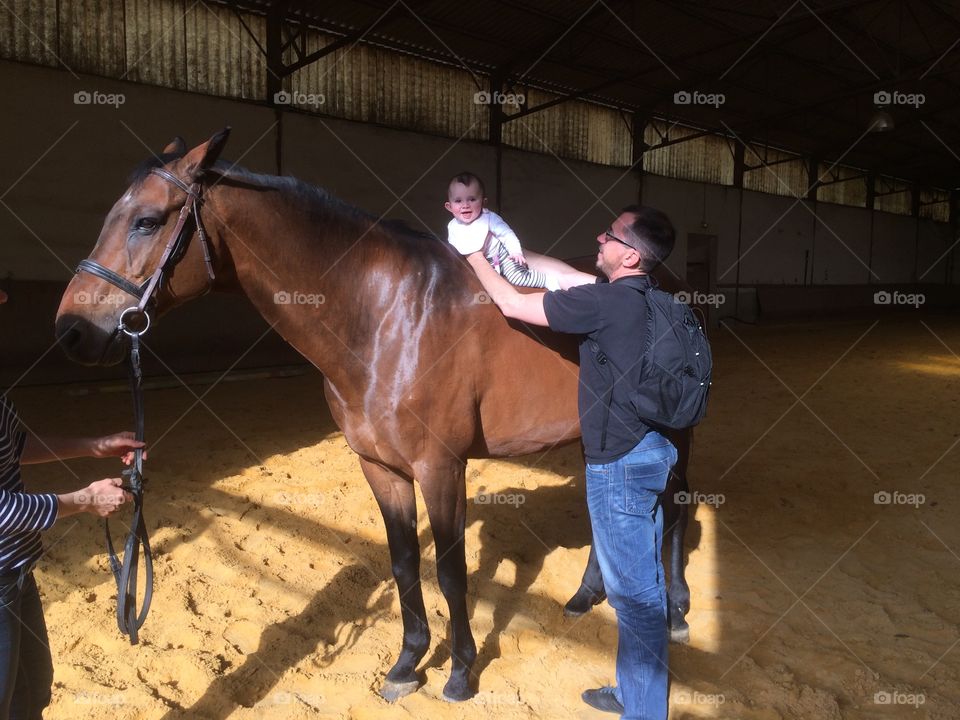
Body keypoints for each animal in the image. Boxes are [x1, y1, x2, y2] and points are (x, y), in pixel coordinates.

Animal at [54, 131, 688, 704]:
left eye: (146, 221)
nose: (71, 331)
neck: (387, 316)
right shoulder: (380, 467)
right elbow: (405, 562)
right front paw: (409, 663)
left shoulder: (441, 468)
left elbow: (451, 571)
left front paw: (461, 672)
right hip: (594, 432)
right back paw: (585, 598)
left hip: (675, 433)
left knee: (676, 510)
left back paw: (677, 611)